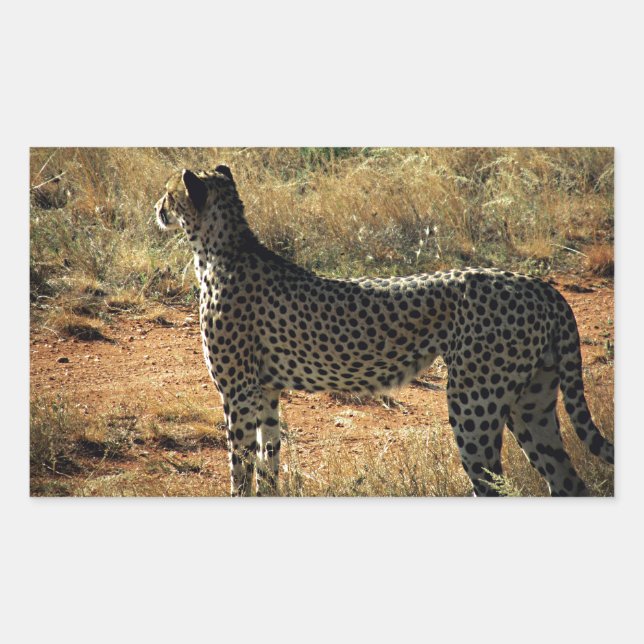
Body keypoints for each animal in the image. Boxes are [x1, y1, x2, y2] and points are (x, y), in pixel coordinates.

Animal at [155, 165, 614, 496]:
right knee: (567, 482)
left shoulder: (237, 393)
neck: (220, 249)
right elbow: (268, 465)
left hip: (474, 403)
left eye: (168, 192)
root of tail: (539, 285)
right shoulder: (265, 391)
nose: (156, 208)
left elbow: (239, 466)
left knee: (493, 483)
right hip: (531, 402)